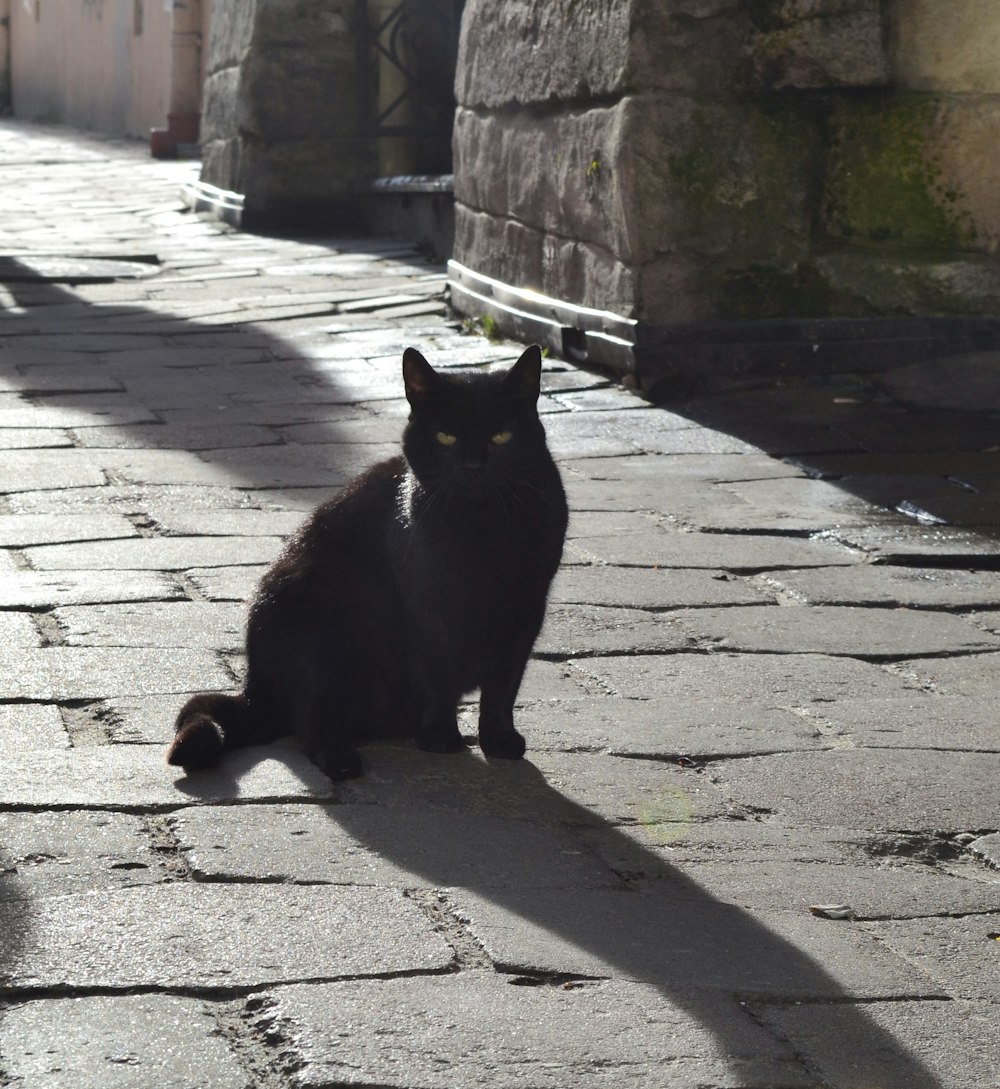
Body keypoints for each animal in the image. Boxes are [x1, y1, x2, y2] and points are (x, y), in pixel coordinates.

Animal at [168, 344, 566, 779]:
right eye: (446, 437)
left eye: (501, 437)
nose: (473, 467)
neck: (483, 527)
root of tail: (256, 688)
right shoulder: (427, 606)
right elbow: (436, 673)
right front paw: (441, 737)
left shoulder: (527, 607)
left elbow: (504, 687)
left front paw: (499, 740)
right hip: (323, 613)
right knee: (311, 721)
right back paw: (342, 760)